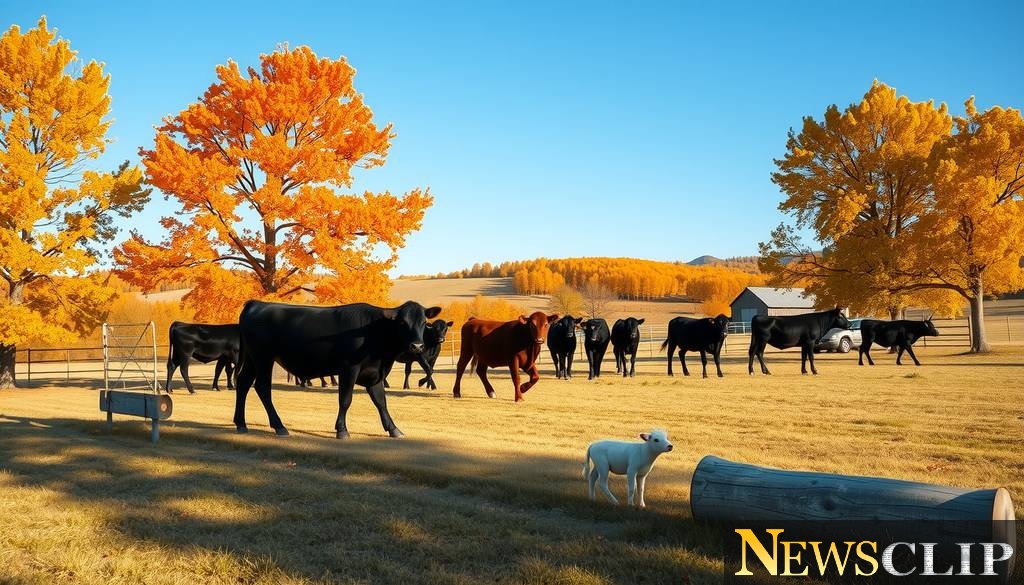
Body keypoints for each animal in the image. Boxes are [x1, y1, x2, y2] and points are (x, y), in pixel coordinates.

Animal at [233, 300, 441, 438]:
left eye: (424, 323)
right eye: (402, 323)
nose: (417, 346)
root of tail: (257, 304)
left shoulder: (374, 373)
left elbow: (381, 402)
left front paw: (394, 429)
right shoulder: (349, 369)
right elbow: (345, 399)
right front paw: (342, 430)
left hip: (252, 359)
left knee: (243, 383)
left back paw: (241, 424)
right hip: (263, 358)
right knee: (262, 387)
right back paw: (279, 426)